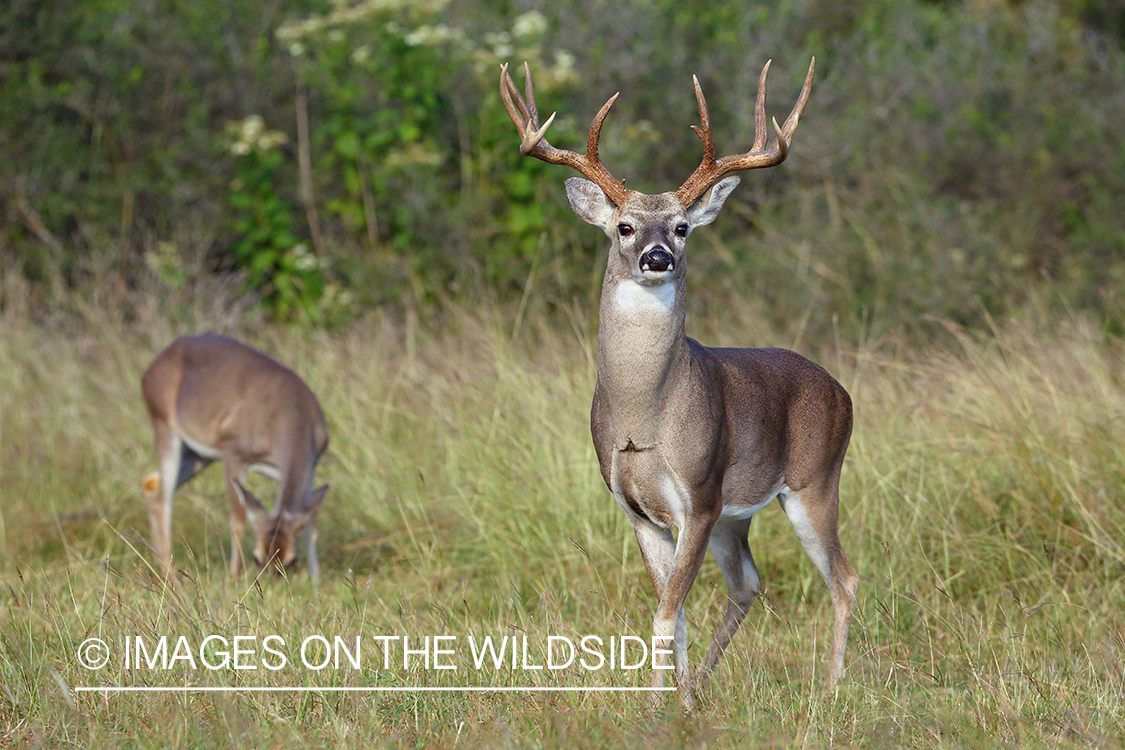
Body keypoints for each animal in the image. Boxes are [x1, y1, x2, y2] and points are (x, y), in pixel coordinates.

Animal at [140, 335, 328, 580]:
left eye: (291, 559)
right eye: (256, 557)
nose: (271, 581)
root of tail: (151, 369)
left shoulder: (310, 467)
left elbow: (310, 526)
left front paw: (316, 581)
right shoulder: (233, 454)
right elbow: (238, 519)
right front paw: (235, 576)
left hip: (198, 454)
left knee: (152, 486)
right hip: (164, 429)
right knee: (164, 499)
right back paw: (171, 576)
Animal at [504, 58, 859, 706]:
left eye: (683, 228)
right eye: (623, 226)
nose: (657, 257)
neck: (644, 415)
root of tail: (841, 390)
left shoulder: (700, 493)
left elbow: (666, 613)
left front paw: (655, 705)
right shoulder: (639, 509)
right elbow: (678, 610)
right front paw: (680, 702)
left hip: (814, 479)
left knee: (844, 578)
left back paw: (832, 690)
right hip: (738, 515)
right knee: (748, 584)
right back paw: (708, 687)